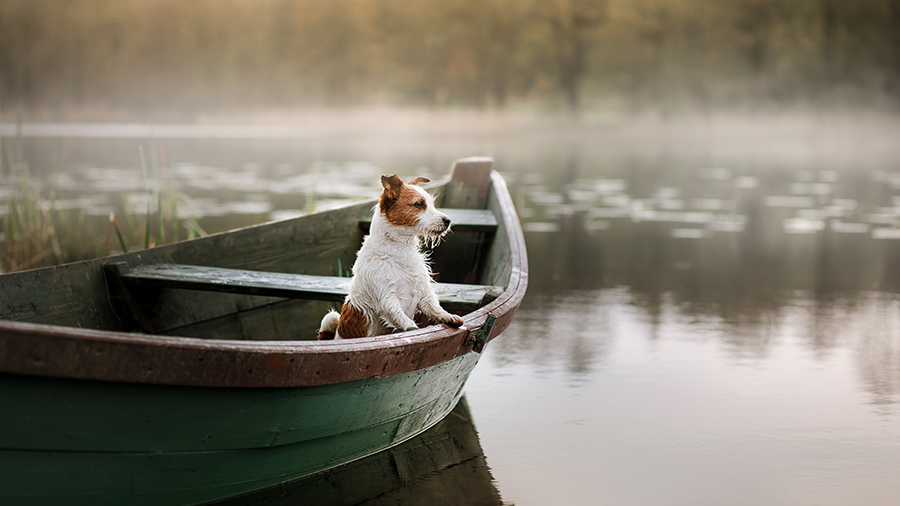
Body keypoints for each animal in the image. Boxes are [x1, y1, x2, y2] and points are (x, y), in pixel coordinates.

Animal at [318, 174, 464, 340]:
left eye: (433, 204)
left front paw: (448, 316)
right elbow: (405, 321)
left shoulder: (423, 293)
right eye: (419, 204)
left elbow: (434, 307)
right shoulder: (387, 299)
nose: (448, 221)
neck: (399, 248)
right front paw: (415, 331)